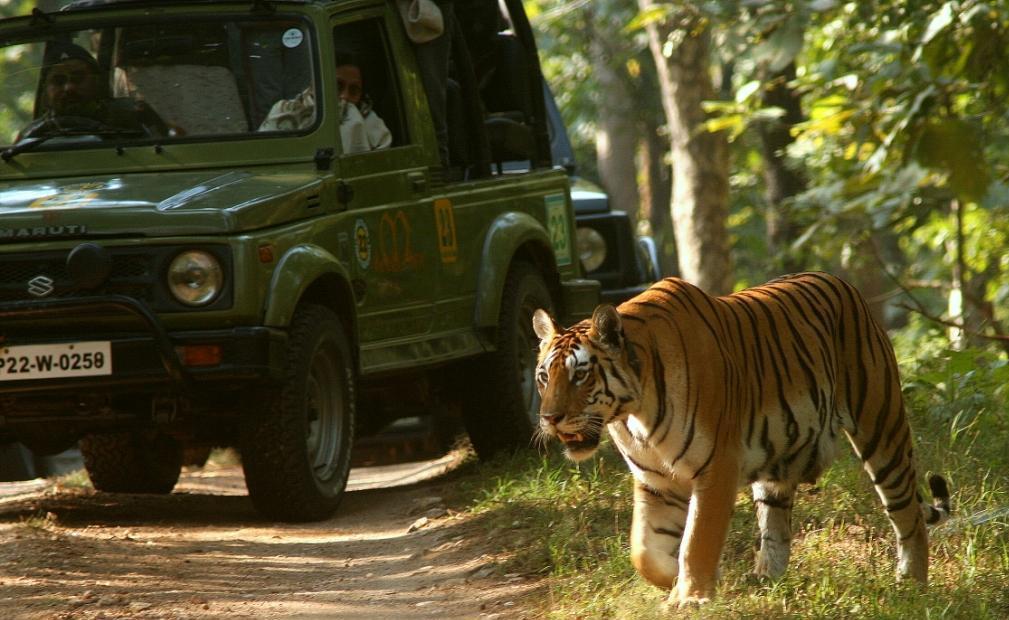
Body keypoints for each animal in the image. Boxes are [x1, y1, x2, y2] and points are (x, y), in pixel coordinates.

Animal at [532, 272, 951, 606]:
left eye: (580, 375)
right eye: (543, 377)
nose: (550, 418)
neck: (633, 413)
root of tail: (845, 284)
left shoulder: (715, 467)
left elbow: (697, 540)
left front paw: (692, 598)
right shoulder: (655, 481)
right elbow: (644, 550)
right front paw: (677, 585)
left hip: (881, 427)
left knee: (909, 516)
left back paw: (912, 584)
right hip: (777, 465)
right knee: (776, 528)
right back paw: (766, 581)